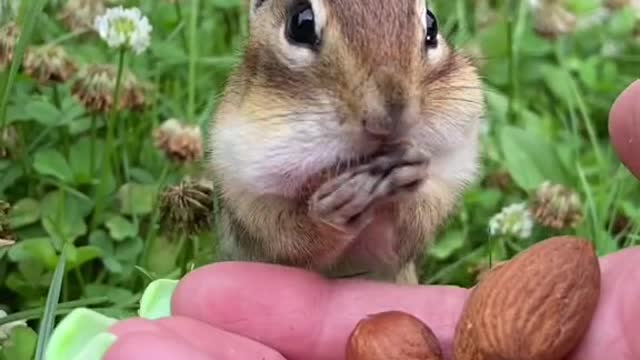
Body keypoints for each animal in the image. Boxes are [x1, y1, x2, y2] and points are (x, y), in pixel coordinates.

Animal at [210, 0, 484, 284]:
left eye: (432, 24)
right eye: (300, 25)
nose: (391, 114)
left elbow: (411, 231)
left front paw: (410, 171)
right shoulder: (244, 188)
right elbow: (286, 240)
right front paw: (331, 212)